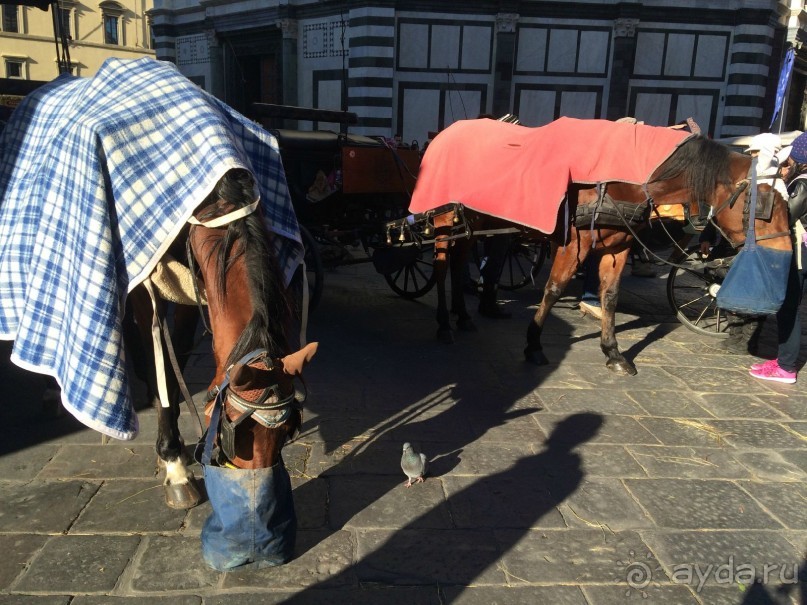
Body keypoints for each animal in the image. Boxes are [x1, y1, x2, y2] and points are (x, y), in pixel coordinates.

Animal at [127, 168, 316, 508]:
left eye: (286, 433)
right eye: (233, 432)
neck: (215, 207)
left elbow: (180, 353)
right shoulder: (147, 276)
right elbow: (161, 359)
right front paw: (172, 461)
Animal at [430, 135, 788, 376]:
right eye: (763, 203)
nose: (784, 252)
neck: (625, 179)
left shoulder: (618, 246)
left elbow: (611, 296)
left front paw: (613, 351)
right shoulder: (575, 242)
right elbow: (554, 289)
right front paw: (533, 344)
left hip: (472, 223)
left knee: (459, 264)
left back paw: (462, 316)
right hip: (444, 222)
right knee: (441, 268)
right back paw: (444, 324)